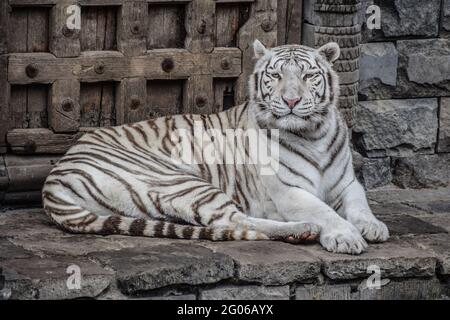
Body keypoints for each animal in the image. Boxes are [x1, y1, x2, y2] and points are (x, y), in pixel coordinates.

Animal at [42, 40, 388, 255]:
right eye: (276, 75)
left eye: (309, 76)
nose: (291, 101)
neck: (314, 133)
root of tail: (53, 178)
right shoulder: (290, 191)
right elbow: (324, 211)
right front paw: (345, 236)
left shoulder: (347, 183)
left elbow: (360, 204)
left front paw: (372, 227)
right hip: (181, 180)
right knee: (232, 221)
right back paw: (303, 229)